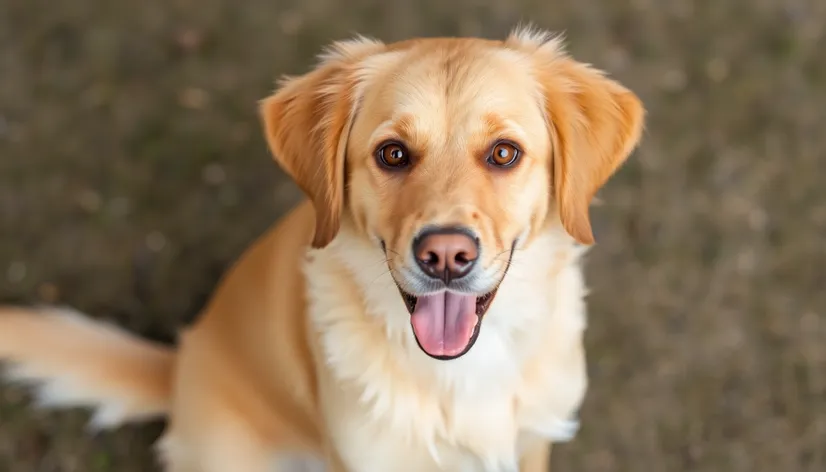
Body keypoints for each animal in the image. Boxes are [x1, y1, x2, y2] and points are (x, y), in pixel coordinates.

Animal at [0, 26, 644, 472]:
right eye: (392, 154)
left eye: (504, 153)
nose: (444, 257)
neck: (458, 373)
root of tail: (181, 362)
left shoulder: (530, 445)